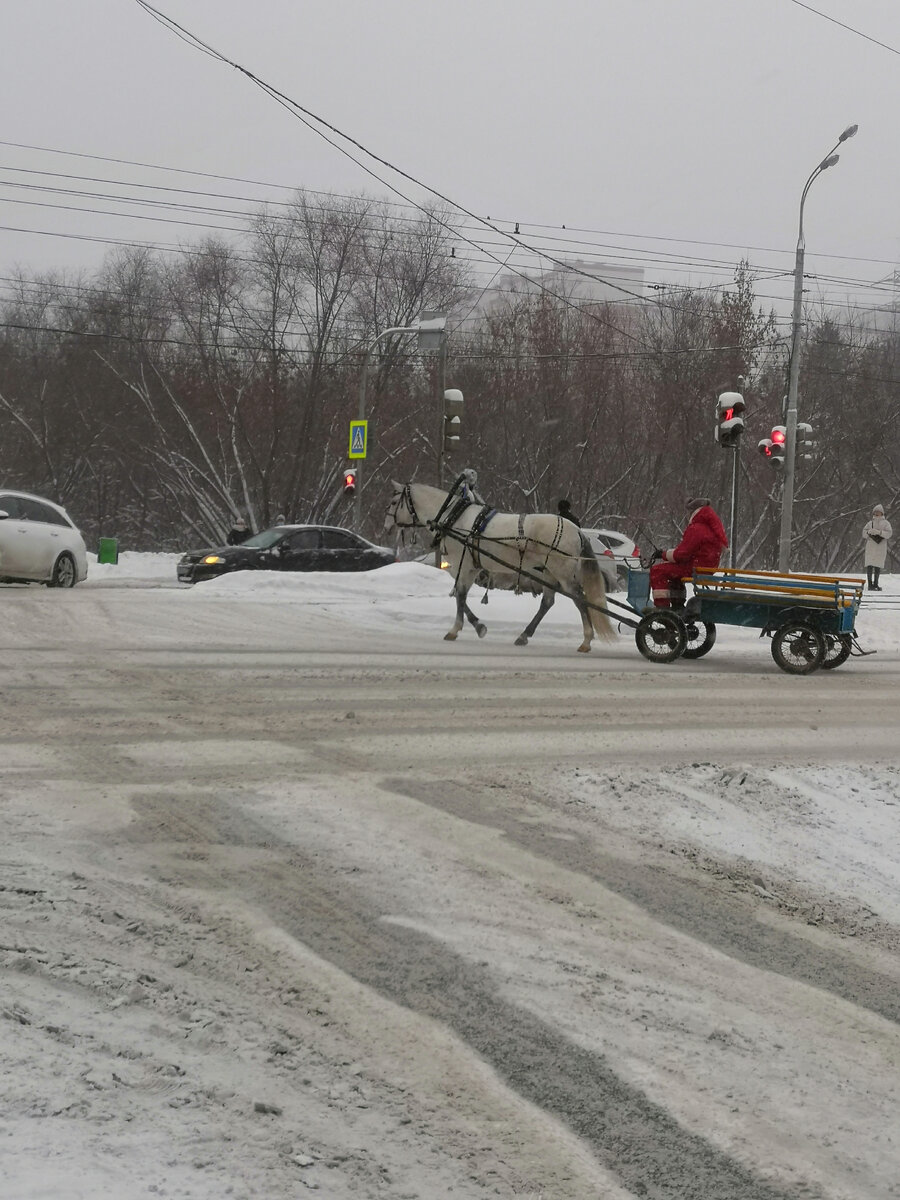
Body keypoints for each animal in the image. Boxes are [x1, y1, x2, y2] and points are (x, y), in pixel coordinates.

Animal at [384, 477, 619, 652]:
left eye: (394, 502)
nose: (386, 526)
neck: (454, 519)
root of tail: (577, 530)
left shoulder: (464, 565)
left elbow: (459, 595)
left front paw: (459, 629)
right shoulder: (473, 566)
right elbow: (460, 596)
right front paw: (477, 626)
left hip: (562, 573)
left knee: (579, 600)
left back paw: (586, 640)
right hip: (548, 573)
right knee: (547, 602)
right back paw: (524, 635)